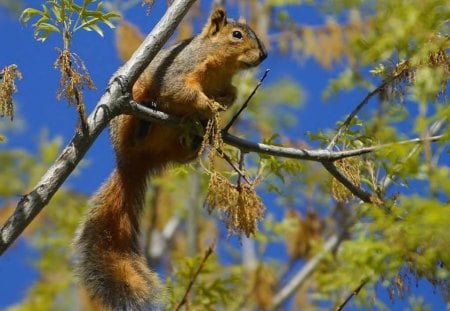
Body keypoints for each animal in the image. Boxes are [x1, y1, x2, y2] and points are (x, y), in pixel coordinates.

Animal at [72, 7, 266, 311]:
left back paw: (193, 138)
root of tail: (132, 163)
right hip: (130, 105)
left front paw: (219, 106)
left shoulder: (226, 84)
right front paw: (208, 105)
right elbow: (180, 90)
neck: (221, 66)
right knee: (137, 123)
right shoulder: (179, 70)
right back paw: (143, 122)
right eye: (237, 35)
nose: (263, 55)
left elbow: (231, 94)